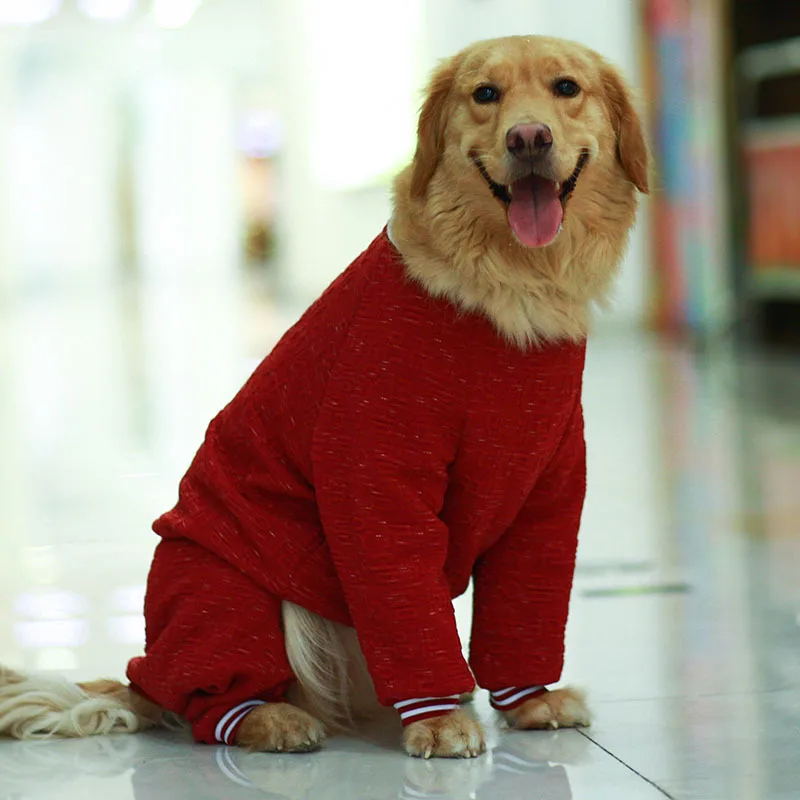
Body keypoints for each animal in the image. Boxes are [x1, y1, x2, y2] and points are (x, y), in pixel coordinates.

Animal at [0, 34, 648, 760]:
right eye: (486, 94)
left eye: (567, 88)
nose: (528, 137)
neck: (506, 286)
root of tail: (144, 677)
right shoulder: (376, 478)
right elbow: (406, 602)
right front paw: (436, 719)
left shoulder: (548, 496)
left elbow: (525, 607)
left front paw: (529, 700)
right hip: (224, 588)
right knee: (210, 705)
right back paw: (271, 717)